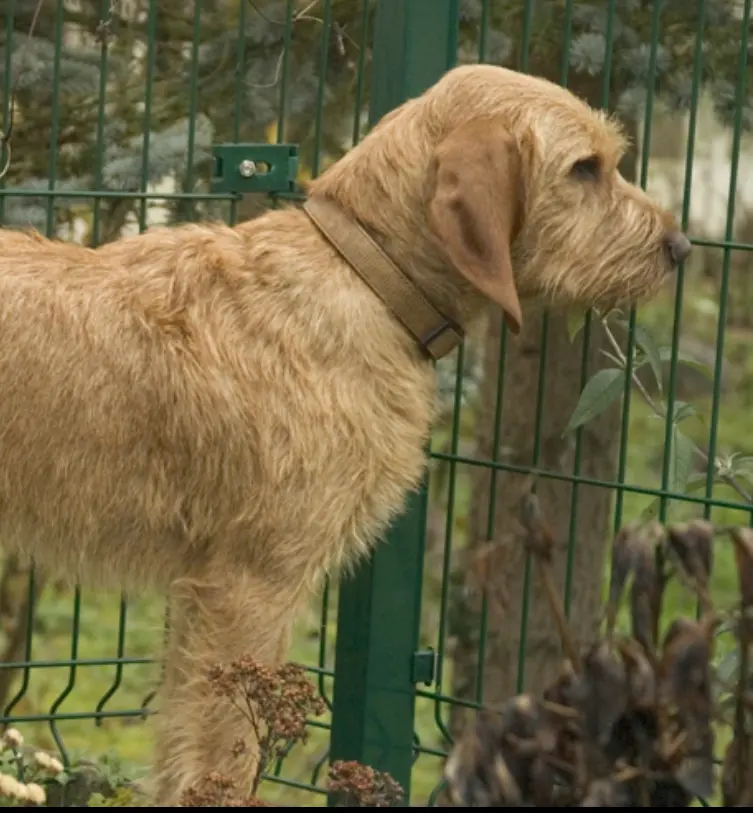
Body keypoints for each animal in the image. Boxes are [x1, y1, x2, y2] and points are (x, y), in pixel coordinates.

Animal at [0, 65, 688, 800]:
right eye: (584, 168)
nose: (679, 248)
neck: (365, 277)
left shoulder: (198, 598)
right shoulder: (250, 587)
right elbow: (225, 750)